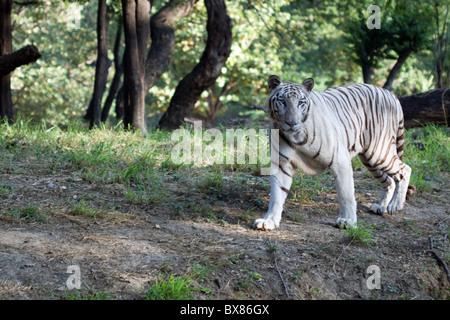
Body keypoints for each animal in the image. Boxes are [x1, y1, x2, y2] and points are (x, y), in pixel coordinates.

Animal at [251, 75, 414, 230]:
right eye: (282, 101)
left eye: (300, 103)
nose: (292, 123)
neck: (296, 138)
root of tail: (390, 94)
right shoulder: (282, 163)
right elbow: (277, 195)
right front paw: (269, 221)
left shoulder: (340, 161)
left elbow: (346, 195)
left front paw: (347, 221)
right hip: (369, 160)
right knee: (390, 180)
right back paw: (381, 206)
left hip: (379, 152)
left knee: (405, 169)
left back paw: (395, 205)